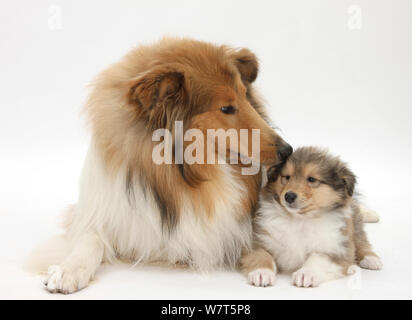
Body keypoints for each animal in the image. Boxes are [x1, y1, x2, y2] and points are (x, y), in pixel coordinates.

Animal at [25, 38, 292, 296]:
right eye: (226, 108)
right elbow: (91, 240)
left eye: (246, 96)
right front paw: (69, 271)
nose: (287, 151)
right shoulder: (99, 214)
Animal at [240, 148, 382, 288]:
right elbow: (261, 255)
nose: (289, 196)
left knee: (361, 239)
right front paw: (261, 273)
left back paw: (370, 259)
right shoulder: (256, 239)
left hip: (353, 223)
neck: (299, 219)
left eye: (312, 179)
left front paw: (306, 274)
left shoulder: (337, 248)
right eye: (286, 177)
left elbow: (318, 259)